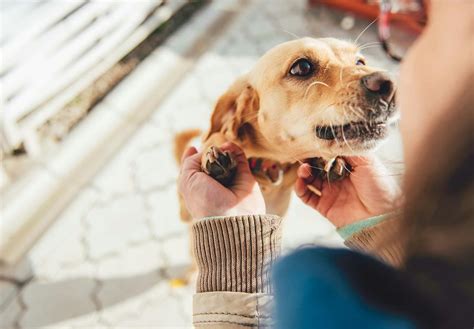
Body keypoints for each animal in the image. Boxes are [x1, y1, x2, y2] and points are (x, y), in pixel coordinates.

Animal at [174, 36, 396, 220]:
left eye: (360, 62)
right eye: (302, 67)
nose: (390, 85)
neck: (270, 164)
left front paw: (329, 162)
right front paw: (218, 168)